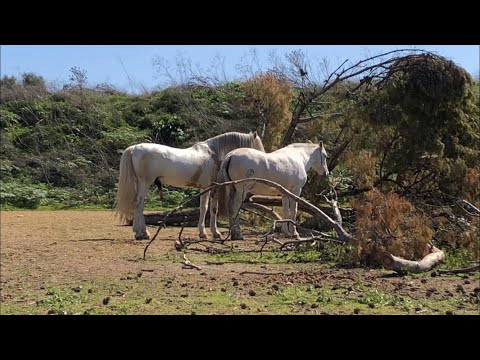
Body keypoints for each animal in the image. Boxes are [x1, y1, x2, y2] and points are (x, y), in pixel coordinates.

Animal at [116, 131, 266, 239]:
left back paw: (139, 231)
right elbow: (205, 208)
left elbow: (213, 209)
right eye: (257, 147)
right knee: (139, 204)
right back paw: (142, 233)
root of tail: (133, 148)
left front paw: (215, 233)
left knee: (137, 204)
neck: (213, 153)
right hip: (145, 183)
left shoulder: (211, 189)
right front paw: (204, 233)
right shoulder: (207, 188)